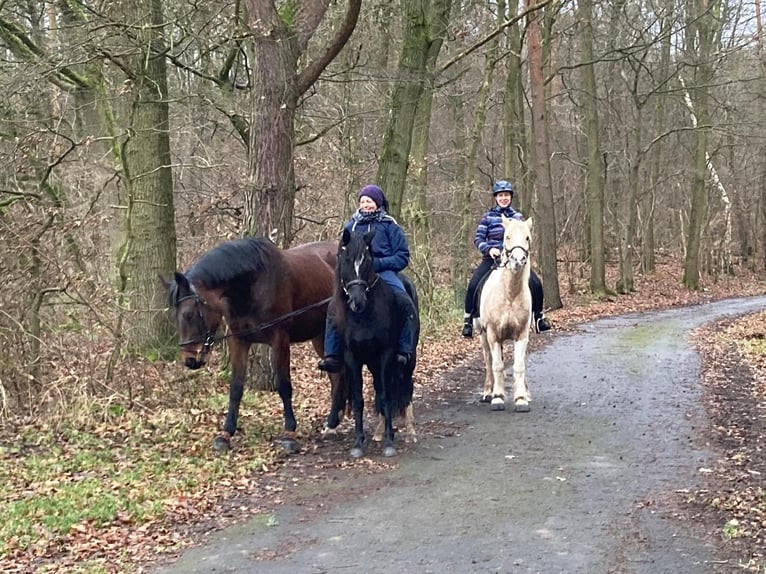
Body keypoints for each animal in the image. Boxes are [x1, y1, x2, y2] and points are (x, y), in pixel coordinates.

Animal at [168, 238, 352, 454]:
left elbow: (284, 385)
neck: (251, 285)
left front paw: (289, 433)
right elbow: (236, 388)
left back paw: (332, 423)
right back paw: (334, 420)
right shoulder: (239, 341)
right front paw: (226, 434)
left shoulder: (280, 340)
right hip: (320, 335)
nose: (189, 359)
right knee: (336, 375)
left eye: (189, 314)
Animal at [334, 230, 420, 460]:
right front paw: (358, 443)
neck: (363, 318)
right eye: (346, 260)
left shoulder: (385, 354)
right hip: (372, 363)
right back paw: (379, 431)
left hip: (407, 360)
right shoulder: (352, 358)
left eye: (368, 261)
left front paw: (390, 443)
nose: (357, 302)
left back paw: (410, 432)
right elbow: (359, 399)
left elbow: (386, 396)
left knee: (406, 388)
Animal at [480, 217, 536, 414]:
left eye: (527, 237)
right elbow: (497, 366)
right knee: (489, 361)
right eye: (507, 237)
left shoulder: (521, 335)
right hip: (483, 336)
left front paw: (521, 399)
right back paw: (488, 392)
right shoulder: (493, 334)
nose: (518, 260)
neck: (510, 294)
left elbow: (519, 366)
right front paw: (497, 398)